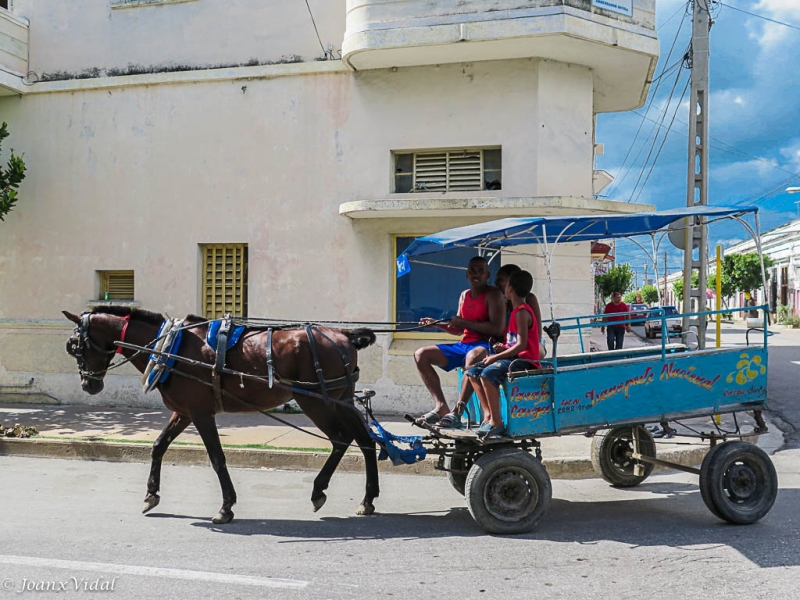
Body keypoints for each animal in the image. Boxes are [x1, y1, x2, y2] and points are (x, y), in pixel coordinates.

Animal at [61, 308, 380, 524]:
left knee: (341, 439)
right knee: (366, 441)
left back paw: (318, 490)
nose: (88, 384)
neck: (170, 347)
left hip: (315, 401)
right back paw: (368, 499)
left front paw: (226, 507)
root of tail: (343, 334)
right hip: (342, 398)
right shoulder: (184, 411)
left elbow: (216, 458)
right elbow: (159, 446)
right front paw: (151, 494)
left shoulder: (201, 412)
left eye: (75, 346)